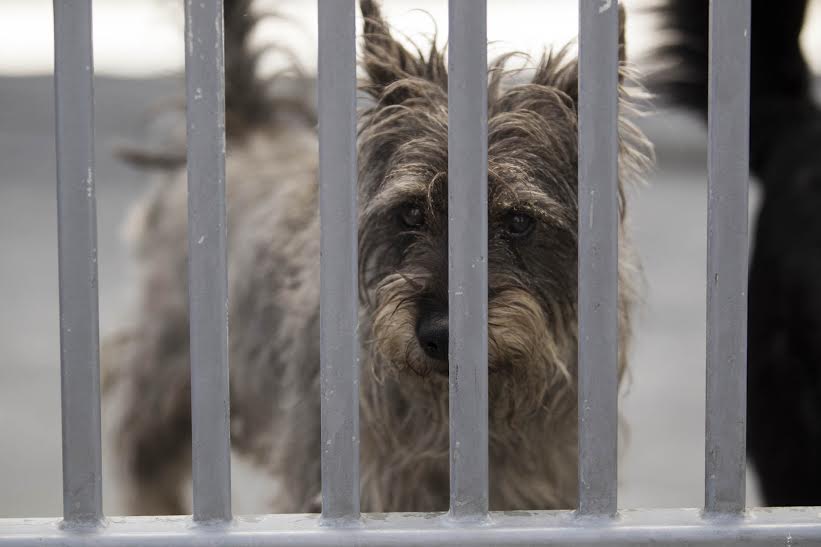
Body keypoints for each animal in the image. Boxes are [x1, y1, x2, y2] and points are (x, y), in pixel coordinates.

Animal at [104, 0, 652, 514]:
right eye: (409, 212)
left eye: (518, 221)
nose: (440, 334)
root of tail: (244, 127)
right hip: (170, 375)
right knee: (140, 449)